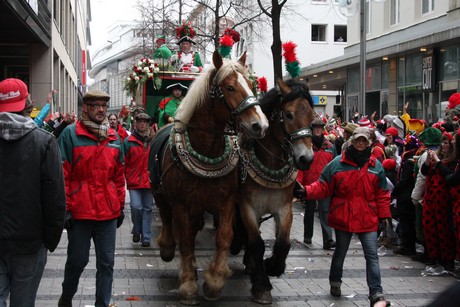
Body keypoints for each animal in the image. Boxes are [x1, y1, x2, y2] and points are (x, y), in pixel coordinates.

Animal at [149, 50, 268, 306]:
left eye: (250, 84)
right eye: (230, 87)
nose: (260, 125)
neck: (207, 150)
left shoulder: (226, 202)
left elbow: (223, 237)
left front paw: (214, 282)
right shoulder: (181, 204)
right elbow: (185, 241)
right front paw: (188, 286)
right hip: (159, 193)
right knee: (167, 218)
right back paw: (167, 248)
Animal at [230, 79, 316, 306]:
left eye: (312, 116)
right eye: (289, 115)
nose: (306, 159)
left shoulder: (284, 208)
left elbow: (283, 243)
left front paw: (271, 266)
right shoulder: (248, 207)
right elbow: (257, 243)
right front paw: (261, 285)